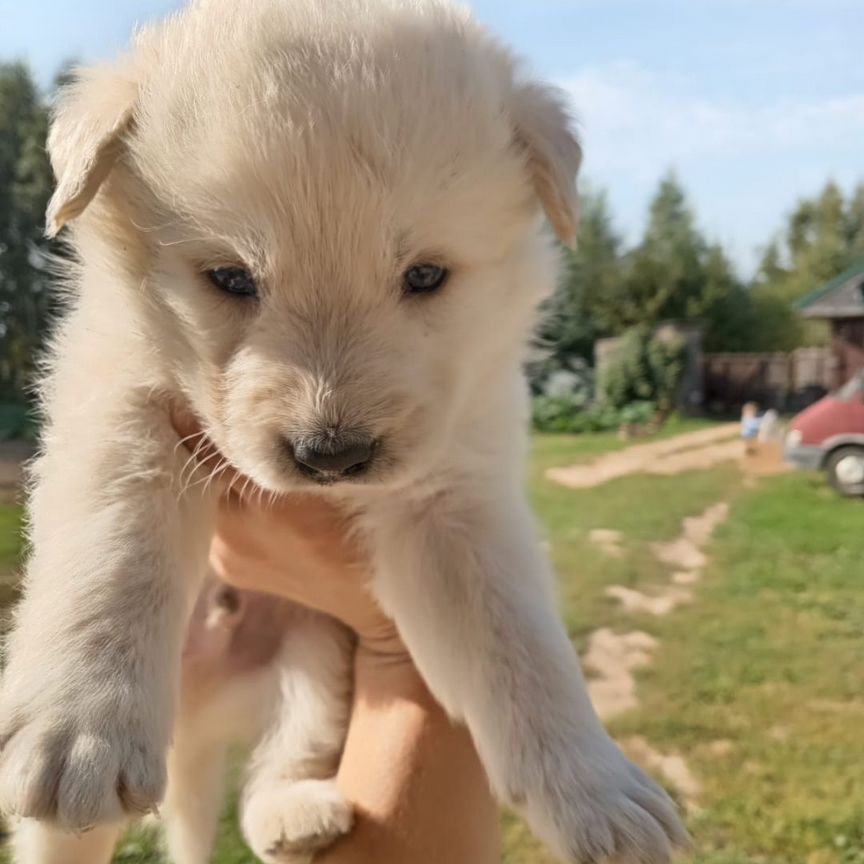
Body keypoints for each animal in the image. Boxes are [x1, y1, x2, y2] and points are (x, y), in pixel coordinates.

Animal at [0, 1, 688, 864]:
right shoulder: (114, 399)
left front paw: (599, 794)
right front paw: (79, 727)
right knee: (71, 837)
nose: (333, 455)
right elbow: (115, 550)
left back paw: (295, 815)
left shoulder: (455, 492)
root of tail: (198, 712)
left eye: (426, 276)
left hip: (317, 659)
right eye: (230, 278)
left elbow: (521, 641)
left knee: (279, 762)